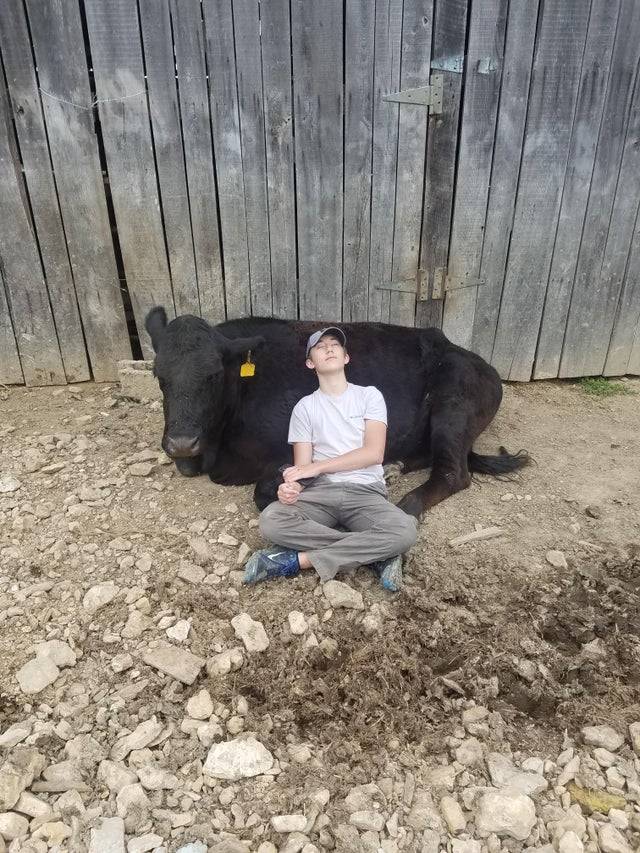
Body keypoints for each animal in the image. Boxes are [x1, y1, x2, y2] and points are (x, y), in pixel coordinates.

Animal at [144, 306, 528, 517]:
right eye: (158, 375)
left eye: (213, 375)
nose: (182, 443)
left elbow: (265, 492)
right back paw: (391, 467)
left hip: (453, 407)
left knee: (453, 473)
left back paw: (406, 505)